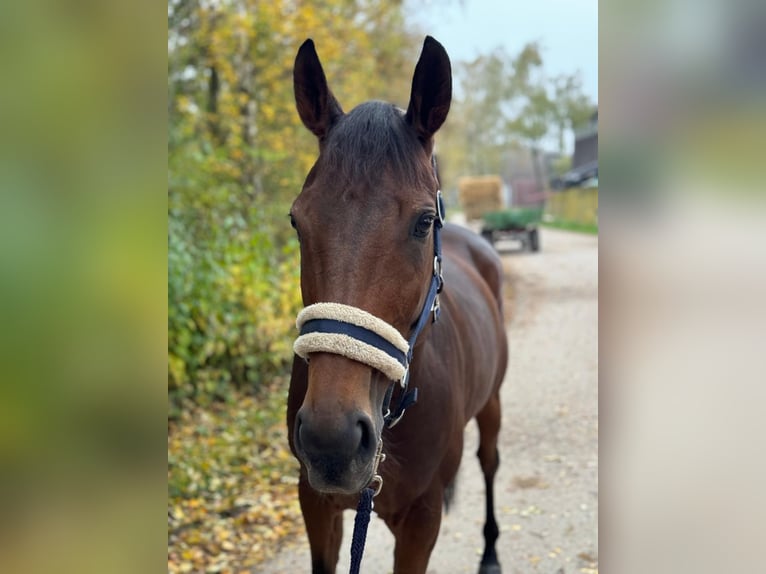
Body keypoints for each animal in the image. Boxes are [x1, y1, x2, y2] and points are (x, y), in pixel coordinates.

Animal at [288, 37, 510, 574]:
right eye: (297, 220)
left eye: (423, 222)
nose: (332, 440)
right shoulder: (316, 506)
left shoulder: (421, 520)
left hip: (492, 403)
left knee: (490, 462)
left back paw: (491, 551)